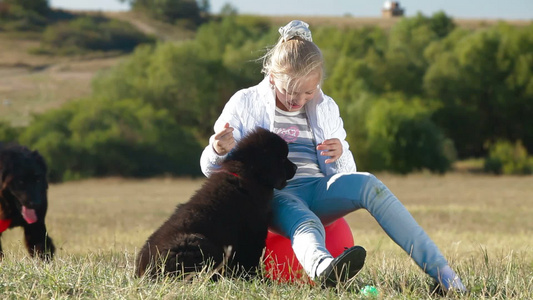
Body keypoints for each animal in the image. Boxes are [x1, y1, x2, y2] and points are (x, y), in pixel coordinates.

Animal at [136, 127, 296, 278]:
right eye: (282, 159)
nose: (295, 167)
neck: (246, 177)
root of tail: (141, 271)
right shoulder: (253, 231)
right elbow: (250, 259)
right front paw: (258, 279)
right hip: (197, 242)